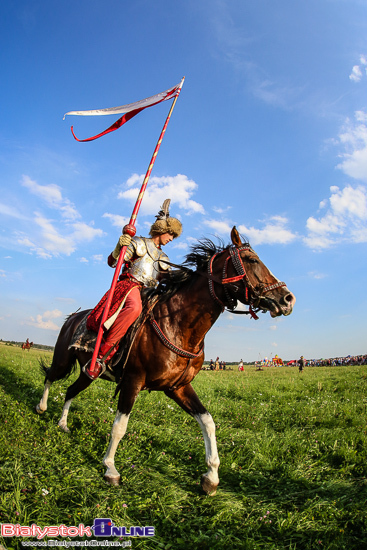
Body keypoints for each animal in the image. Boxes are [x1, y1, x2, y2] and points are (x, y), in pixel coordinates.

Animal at [36, 226, 298, 498]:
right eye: (252, 260)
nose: (288, 299)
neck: (177, 324)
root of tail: (73, 316)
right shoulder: (132, 382)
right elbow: (120, 426)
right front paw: (110, 468)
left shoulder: (178, 387)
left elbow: (208, 422)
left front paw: (211, 477)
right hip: (63, 359)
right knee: (50, 376)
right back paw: (42, 408)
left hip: (89, 372)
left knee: (70, 390)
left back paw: (63, 424)